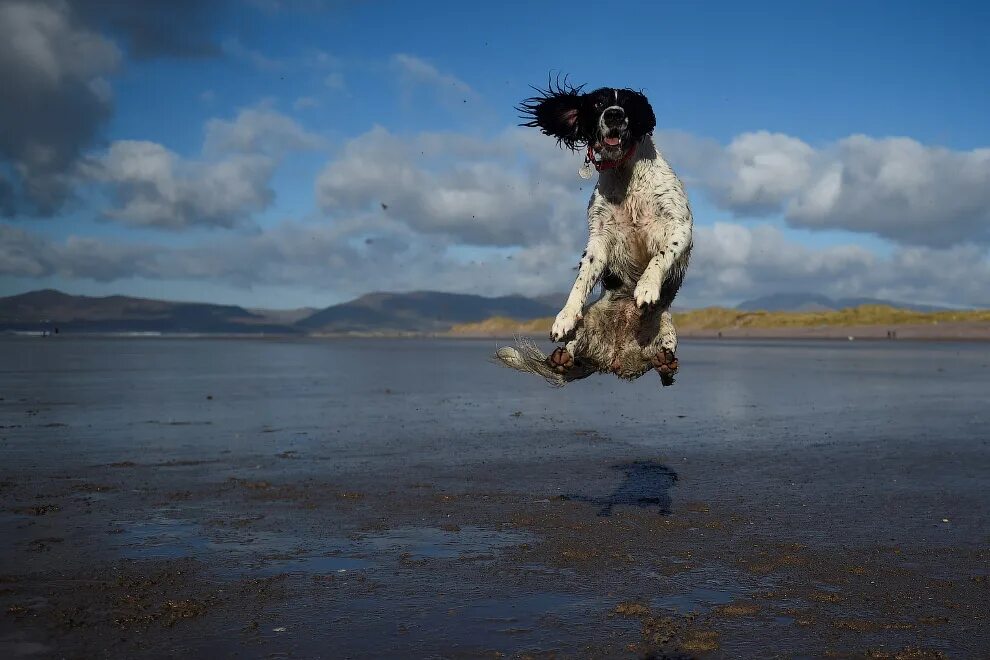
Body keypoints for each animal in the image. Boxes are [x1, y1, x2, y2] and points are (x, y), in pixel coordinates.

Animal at [496, 77, 696, 386]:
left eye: (627, 104)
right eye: (598, 104)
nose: (614, 115)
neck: (626, 175)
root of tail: (614, 360)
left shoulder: (680, 226)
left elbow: (660, 256)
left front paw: (647, 286)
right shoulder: (599, 239)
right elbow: (581, 280)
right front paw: (564, 317)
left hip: (665, 327)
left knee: (665, 369)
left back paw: (665, 363)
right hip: (588, 323)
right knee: (571, 352)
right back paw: (561, 358)